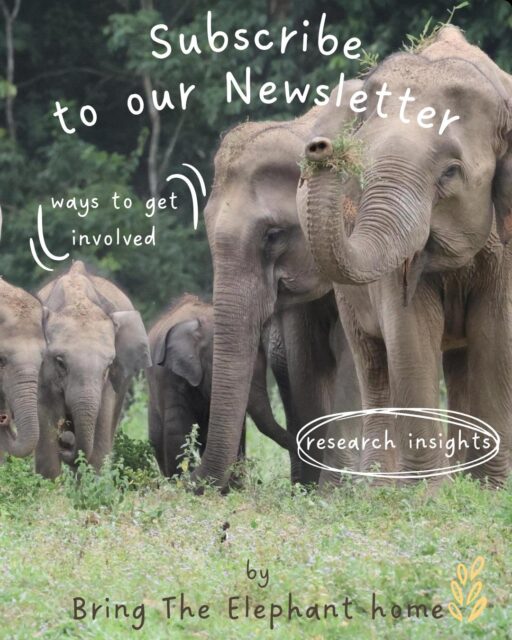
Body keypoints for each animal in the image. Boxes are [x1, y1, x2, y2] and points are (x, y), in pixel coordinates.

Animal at [190, 82, 365, 489]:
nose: (191, 480)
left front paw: (333, 490)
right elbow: (305, 360)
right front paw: (315, 490)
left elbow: (352, 349)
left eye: (273, 235)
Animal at [297, 25, 512, 486]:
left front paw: (490, 489)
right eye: (360, 169)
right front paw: (429, 492)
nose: (322, 147)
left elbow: (498, 335)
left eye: (450, 172)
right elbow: (409, 334)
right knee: (374, 363)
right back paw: (377, 485)